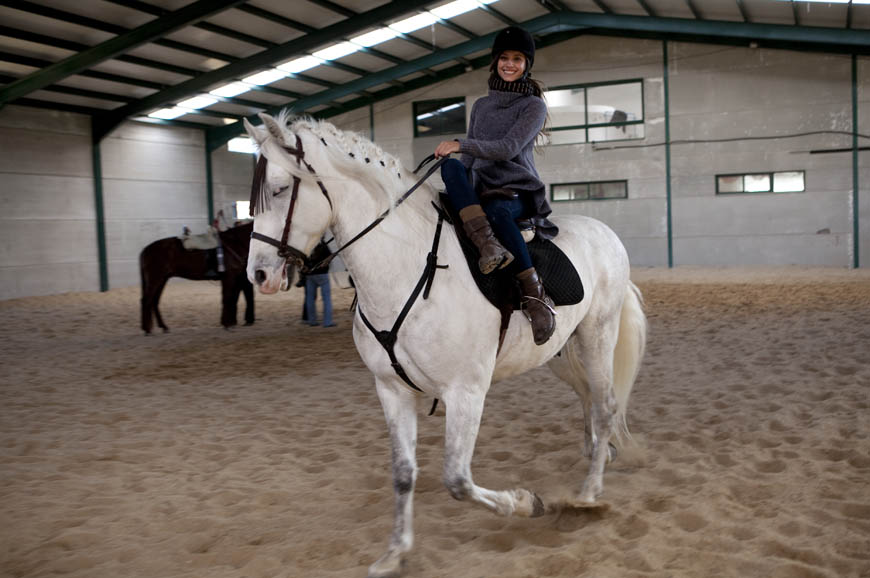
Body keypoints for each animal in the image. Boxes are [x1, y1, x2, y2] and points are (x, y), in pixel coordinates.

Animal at [243, 112, 647, 578]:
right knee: (589, 398)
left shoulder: (465, 392)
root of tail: (605, 232)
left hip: (597, 337)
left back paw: (589, 493)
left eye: (279, 189)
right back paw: (600, 453)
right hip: (560, 352)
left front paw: (527, 503)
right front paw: (394, 552)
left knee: (605, 405)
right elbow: (403, 473)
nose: (258, 276)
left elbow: (457, 480)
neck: (405, 266)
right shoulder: (392, 390)